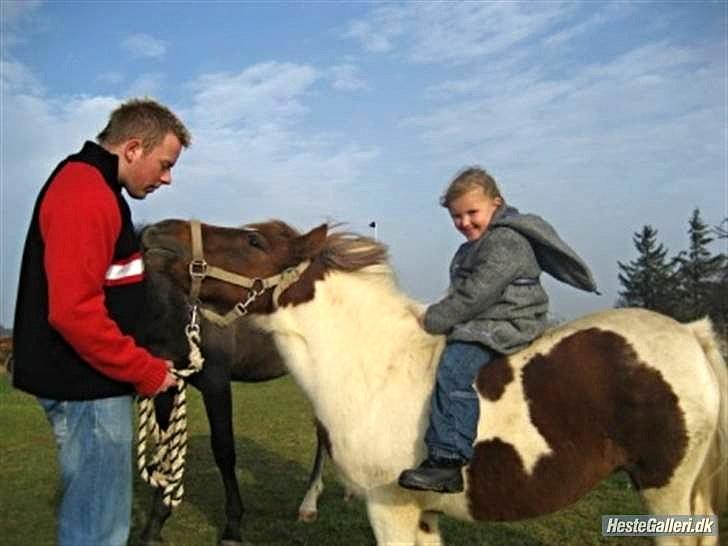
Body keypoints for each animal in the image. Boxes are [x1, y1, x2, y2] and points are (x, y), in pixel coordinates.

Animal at [139, 218, 724, 544]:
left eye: (254, 240)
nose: (158, 232)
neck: (375, 363)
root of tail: (691, 334)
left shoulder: (391, 510)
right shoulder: (421, 518)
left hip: (666, 493)